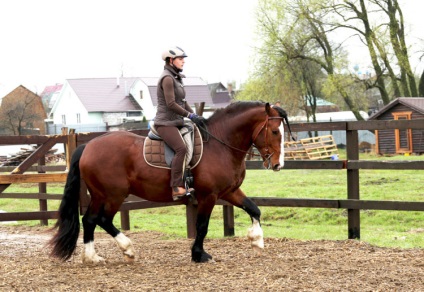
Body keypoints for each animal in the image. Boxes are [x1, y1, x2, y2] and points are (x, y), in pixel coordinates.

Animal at [48, 100, 290, 262]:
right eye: (275, 131)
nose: (278, 164)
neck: (220, 144)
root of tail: (88, 146)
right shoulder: (208, 196)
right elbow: (202, 225)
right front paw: (199, 255)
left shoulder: (229, 191)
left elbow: (254, 209)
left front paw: (257, 240)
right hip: (113, 195)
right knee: (101, 219)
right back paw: (127, 249)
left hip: (101, 195)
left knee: (90, 220)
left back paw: (92, 257)